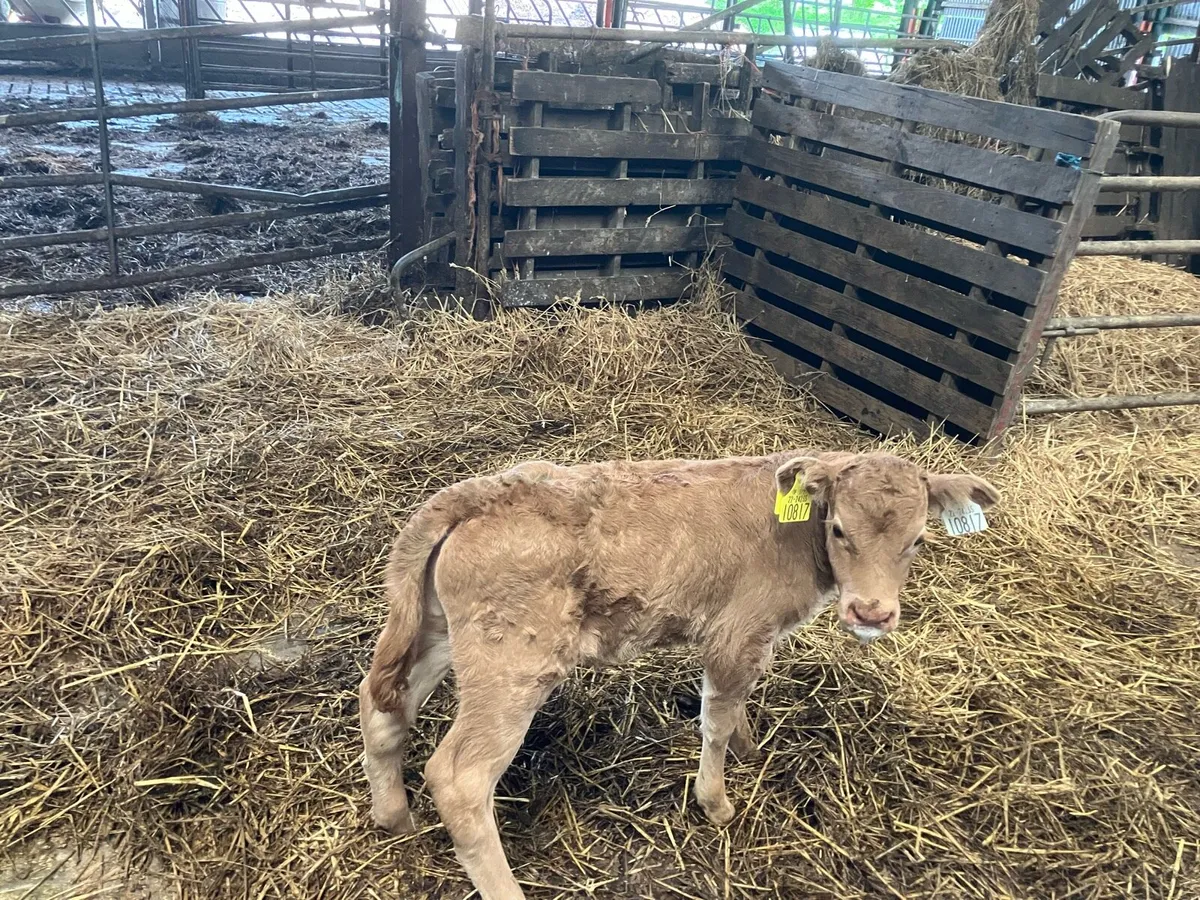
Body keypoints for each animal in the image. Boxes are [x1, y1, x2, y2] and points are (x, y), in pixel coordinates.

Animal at [360, 451, 999, 900]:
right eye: (840, 528)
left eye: (918, 539)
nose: (871, 613)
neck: (793, 529)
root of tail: (478, 492)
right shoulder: (735, 634)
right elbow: (714, 719)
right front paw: (716, 802)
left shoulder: (759, 640)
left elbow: (736, 711)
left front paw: (748, 746)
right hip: (512, 663)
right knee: (459, 776)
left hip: (437, 629)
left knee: (382, 707)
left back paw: (394, 817)